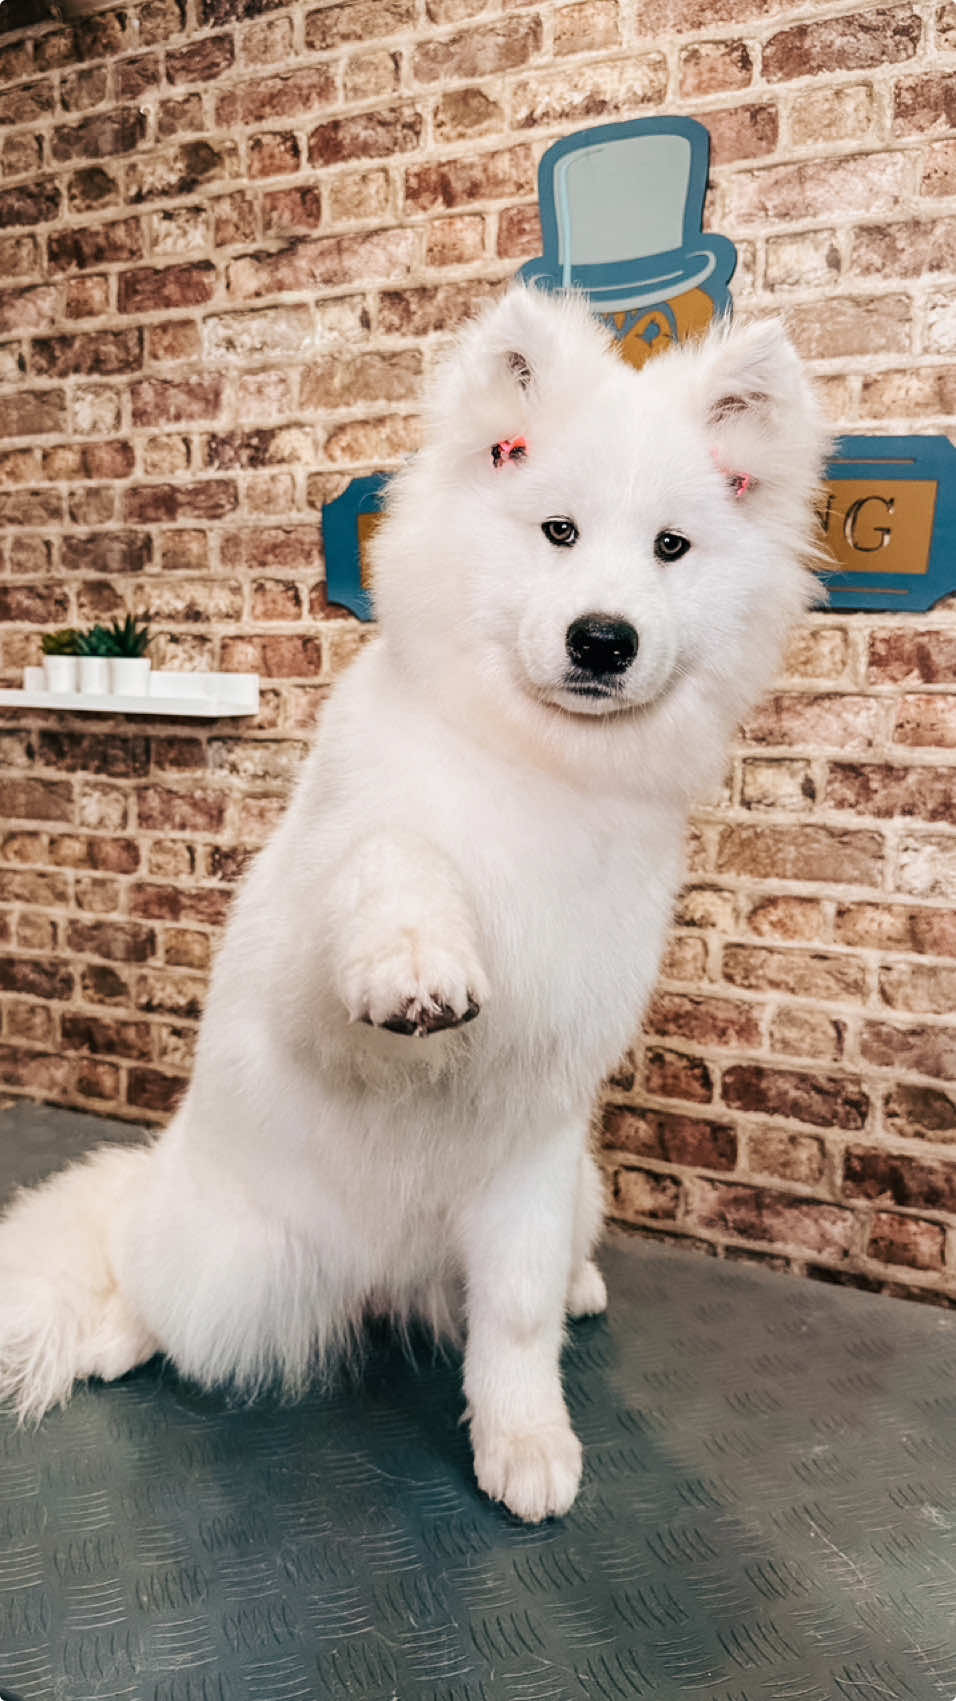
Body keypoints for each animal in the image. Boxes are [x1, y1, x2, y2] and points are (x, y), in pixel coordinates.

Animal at [0, 285, 823, 1524]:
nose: (602, 639)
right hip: (230, 1268)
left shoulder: (534, 1144)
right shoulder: (329, 962)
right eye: (557, 532)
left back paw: (578, 1286)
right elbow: (394, 866)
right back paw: (113, 1336)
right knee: (152, 1290)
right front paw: (415, 965)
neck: (537, 766)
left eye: (671, 548)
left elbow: (514, 1322)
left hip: (574, 1191)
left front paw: (522, 1442)